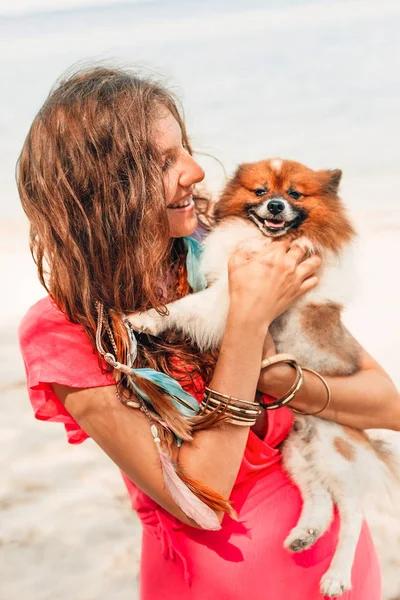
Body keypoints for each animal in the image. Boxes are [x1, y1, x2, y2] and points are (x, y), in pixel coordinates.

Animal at [130, 158, 398, 596]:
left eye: (294, 194)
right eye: (260, 192)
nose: (274, 206)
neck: (266, 242)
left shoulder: (230, 296)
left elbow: (188, 306)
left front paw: (146, 318)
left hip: (332, 449)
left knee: (352, 511)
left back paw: (337, 575)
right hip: (297, 454)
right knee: (320, 500)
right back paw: (304, 535)